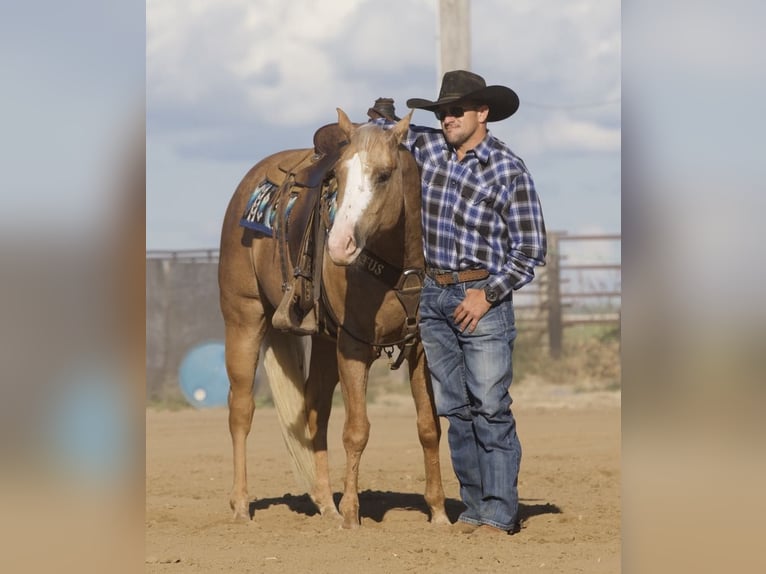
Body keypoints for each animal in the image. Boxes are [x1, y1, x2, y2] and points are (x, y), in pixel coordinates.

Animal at [218, 108, 450, 532]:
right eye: (338, 175)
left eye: (384, 174)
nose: (340, 245)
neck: (394, 269)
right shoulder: (354, 346)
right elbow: (357, 430)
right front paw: (352, 515)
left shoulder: (420, 349)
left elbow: (428, 426)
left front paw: (439, 513)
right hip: (243, 319)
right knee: (241, 410)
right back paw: (242, 506)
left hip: (324, 341)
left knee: (315, 411)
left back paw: (326, 502)